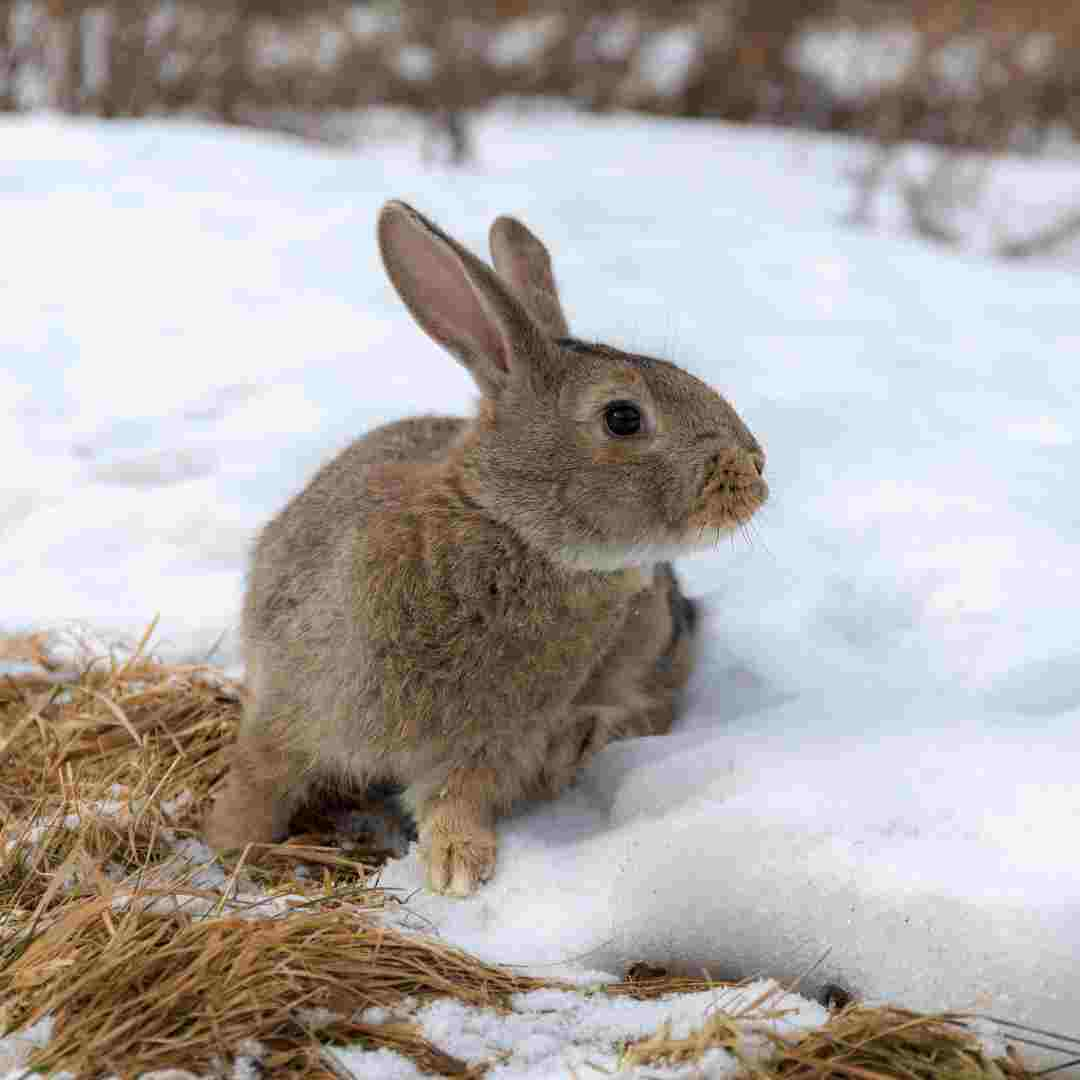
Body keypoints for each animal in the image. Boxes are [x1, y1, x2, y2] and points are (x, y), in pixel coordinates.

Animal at [204, 200, 768, 894]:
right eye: (623, 417)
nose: (755, 468)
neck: (507, 527)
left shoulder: (487, 742)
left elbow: (457, 796)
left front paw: (457, 867)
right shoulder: (288, 698)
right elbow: (262, 774)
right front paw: (229, 842)